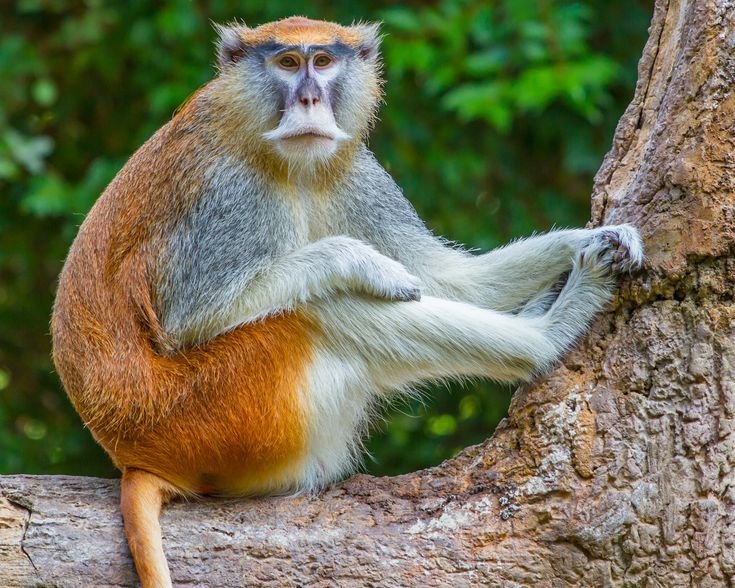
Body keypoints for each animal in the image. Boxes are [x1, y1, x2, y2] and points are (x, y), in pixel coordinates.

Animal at [51, 16, 644, 588]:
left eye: (323, 61)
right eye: (288, 64)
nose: (311, 98)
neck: (275, 151)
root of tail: (134, 454)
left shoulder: (357, 171)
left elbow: (449, 279)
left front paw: (589, 238)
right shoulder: (230, 194)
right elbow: (190, 320)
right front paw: (359, 261)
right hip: (212, 418)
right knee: (320, 313)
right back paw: (545, 337)